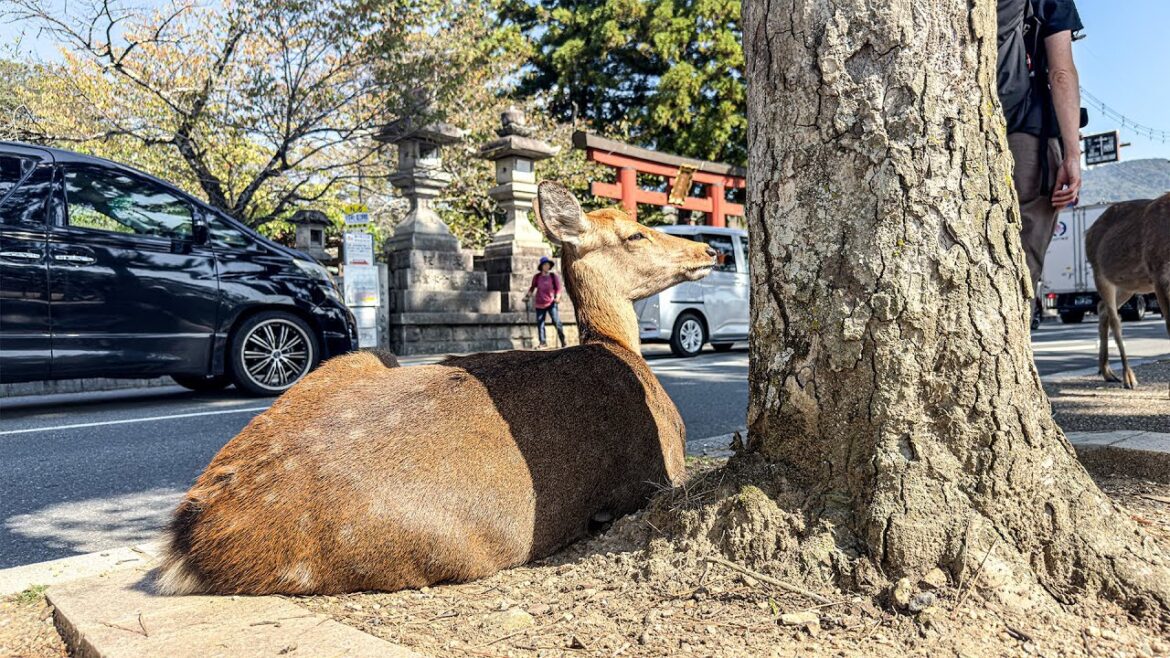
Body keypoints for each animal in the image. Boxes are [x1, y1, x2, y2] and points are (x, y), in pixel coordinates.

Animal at [155, 181, 718, 596]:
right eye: (636, 234)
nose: (709, 248)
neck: (617, 348)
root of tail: (192, 537)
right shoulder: (663, 466)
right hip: (453, 545)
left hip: (360, 358)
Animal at [1086, 191, 1170, 389]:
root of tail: (1087, 233)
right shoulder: (1159, 274)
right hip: (1100, 272)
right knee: (1115, 319)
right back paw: (1128, 377)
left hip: (1129, 285)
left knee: (1102, 308)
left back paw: (1107, 372)